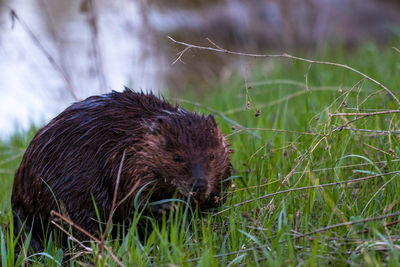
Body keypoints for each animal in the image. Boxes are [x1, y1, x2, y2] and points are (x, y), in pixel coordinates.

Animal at [10, 88, 231, 251]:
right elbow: (130, 198)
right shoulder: (124, 160)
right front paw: (169, 207)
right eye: (177, 157)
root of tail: (17, 200)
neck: (133, 134)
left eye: (212, 155)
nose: (199, 185)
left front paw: (212, 198)